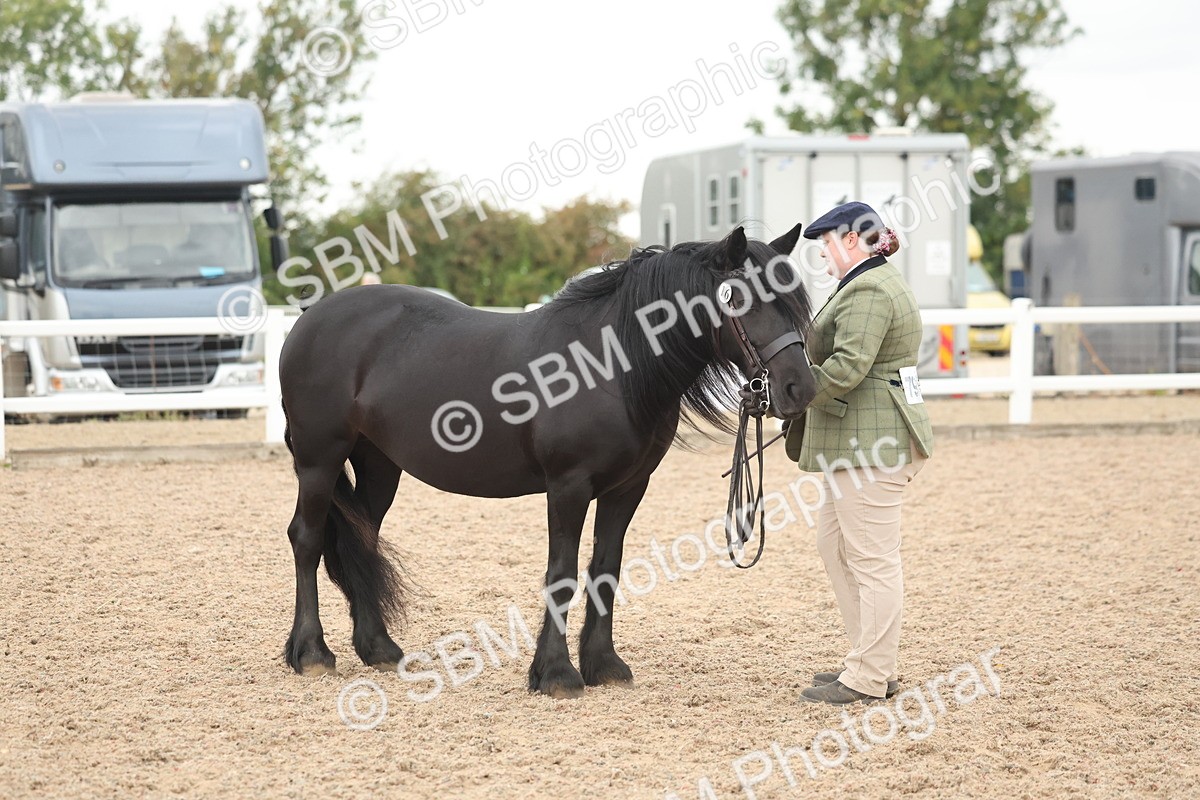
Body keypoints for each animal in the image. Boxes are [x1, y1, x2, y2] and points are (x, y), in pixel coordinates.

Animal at [279, 224, 818, 698]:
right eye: (742, 299)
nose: (801, 388)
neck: (608, 364)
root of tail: (309, 316)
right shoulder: (568, 485)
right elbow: (562, 574)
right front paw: (557, 674)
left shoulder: (628, 488)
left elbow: (606, 570)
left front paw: (604, 666)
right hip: (319, 460)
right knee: (306, 540)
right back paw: (311, 653)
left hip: (378, 465)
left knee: (361, 540)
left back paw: (379, 648)